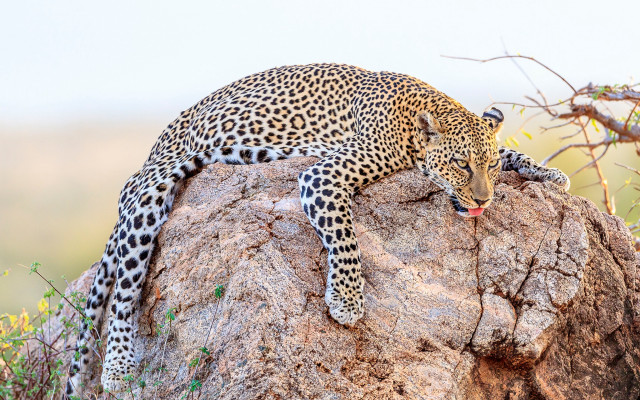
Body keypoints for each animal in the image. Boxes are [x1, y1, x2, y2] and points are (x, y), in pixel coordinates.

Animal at [64, 63, 569, 398]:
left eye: (487, 166)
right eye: (462, 165)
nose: (483, 200)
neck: (418, 116)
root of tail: (154, 147)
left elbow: (513, 152)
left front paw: (547, 172)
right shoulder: (323, 176)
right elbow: (345, 238)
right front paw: (347, 300)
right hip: (150, 195)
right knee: (124, 292)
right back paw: (118, 369)